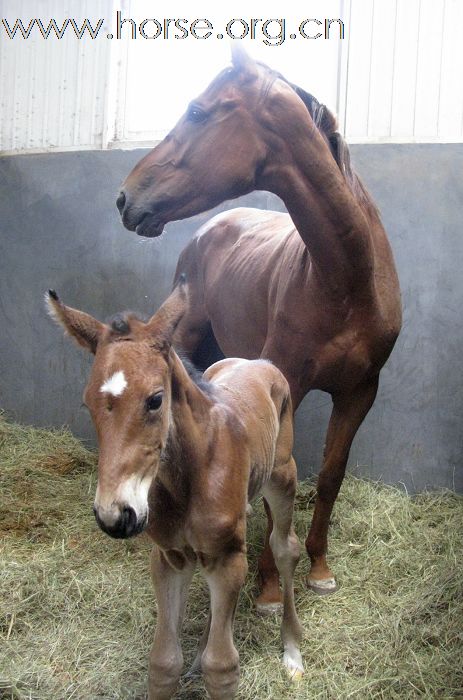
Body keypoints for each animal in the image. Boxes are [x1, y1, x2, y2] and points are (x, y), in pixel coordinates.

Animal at [45, 284, 302, 700]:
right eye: (88, 403)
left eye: (155, 399)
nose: (115, 515)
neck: (189, 478)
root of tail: (258, 362)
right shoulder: (170, 558)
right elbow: (164, 663)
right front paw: (190, 659)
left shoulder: (229, 558)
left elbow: (223, 667)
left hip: (282, 478)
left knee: (285, 546)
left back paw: (293, 650)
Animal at [117, 45, 402, 608]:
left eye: (198, 111)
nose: (123, 197)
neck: (347, 278)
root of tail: (210, 229)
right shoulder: (288, 383)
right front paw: (270, 587)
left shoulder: (361, 390)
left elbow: (330, 474)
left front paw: (318, 567)